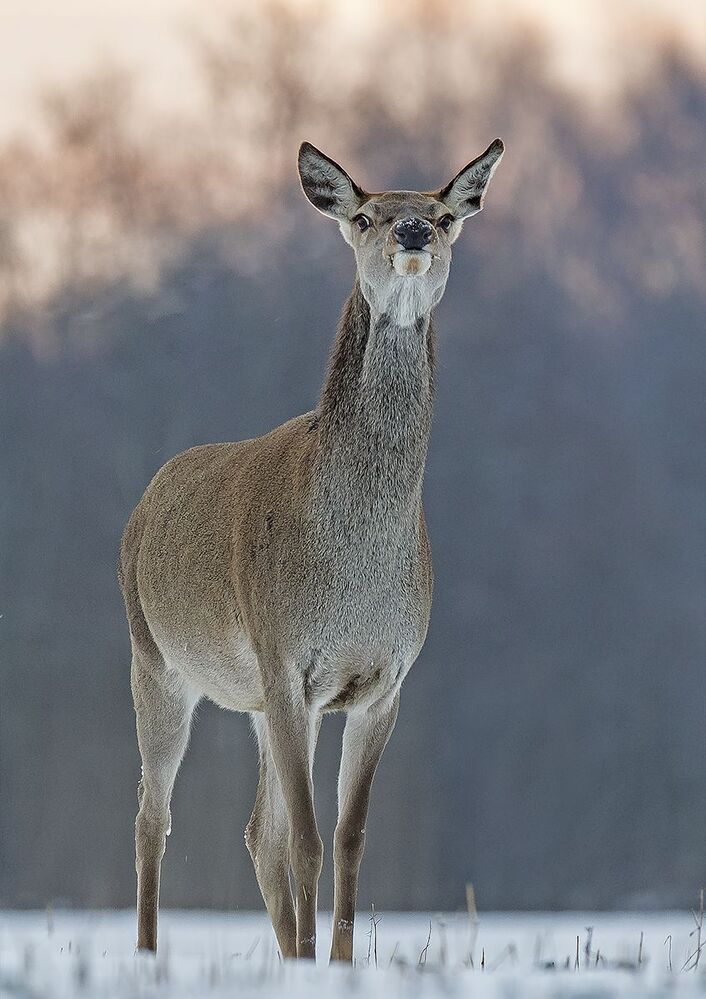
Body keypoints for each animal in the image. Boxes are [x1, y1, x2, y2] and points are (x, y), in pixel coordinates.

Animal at [118, 137, 504, 962]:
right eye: (364, 216)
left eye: (446, 215)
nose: (411, 233)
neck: (353, 569)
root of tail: (146, 500)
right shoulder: (286, 658)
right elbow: (307, 840)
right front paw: (312, 957)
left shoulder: (380, 683)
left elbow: (348, 836)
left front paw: (339, 960)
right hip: (156, 660)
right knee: (151, 815)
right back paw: (148, 953)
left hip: (254, 700)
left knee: (254, 830)